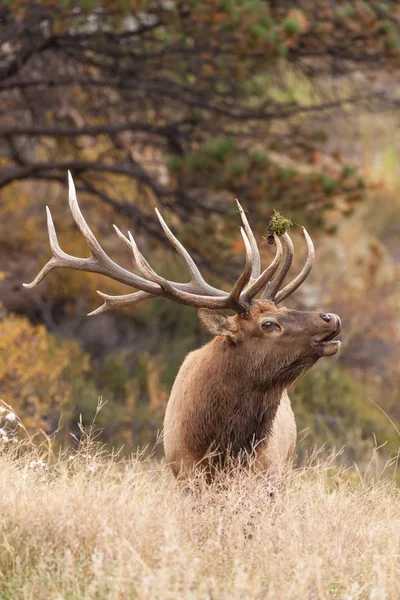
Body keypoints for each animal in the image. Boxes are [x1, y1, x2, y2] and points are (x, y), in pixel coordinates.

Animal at [24, 172, 340, 478]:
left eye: (283, 308)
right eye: (268, 324)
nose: (331, 318)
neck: (219, 446)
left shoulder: (268, 474)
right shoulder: (184, 474)